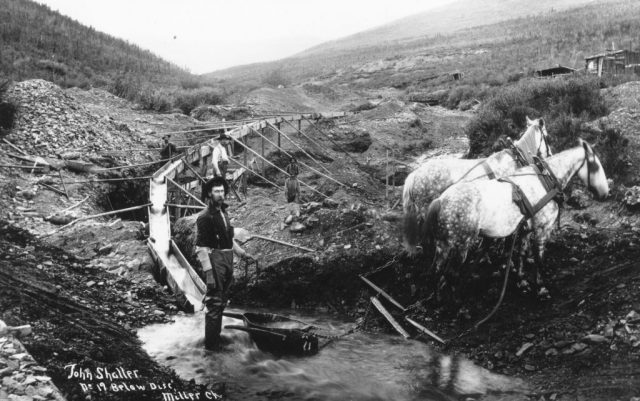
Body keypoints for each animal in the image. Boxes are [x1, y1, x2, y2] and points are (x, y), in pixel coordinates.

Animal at [422, 139, 608, 296]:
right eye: (596, 166)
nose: (606, 193)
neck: (546, 181)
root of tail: (440, 200)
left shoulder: (526, 230)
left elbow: (522, 254)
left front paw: (521, 280)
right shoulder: (542, 230)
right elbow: (539, 258)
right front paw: (540, 287)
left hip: (443, 246)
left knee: (435, 273)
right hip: (461, 246)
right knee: (450, 275)